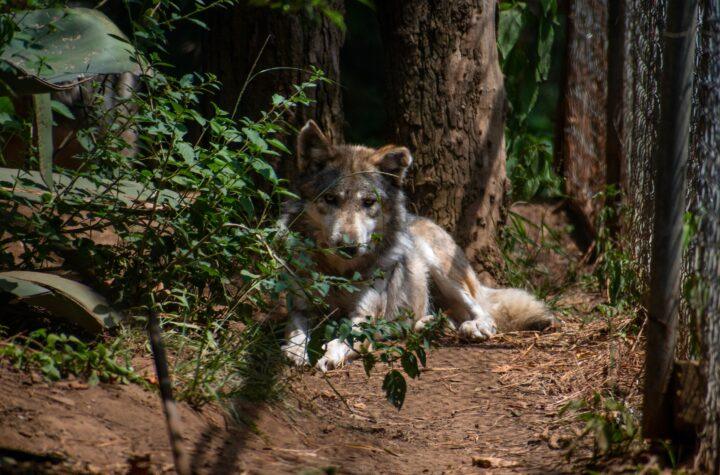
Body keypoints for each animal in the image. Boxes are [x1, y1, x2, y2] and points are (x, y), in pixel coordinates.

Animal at [281, 120, 555, 372]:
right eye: (330, 199)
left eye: (369, 202)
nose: (349, 247)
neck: (339, 272)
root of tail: (422, 219)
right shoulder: (300, 308)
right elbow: (295, 332)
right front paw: (296, 351)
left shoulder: (363, 318)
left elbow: (341, 339)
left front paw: (327, 355)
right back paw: (430, 325)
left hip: (441, 270)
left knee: (483, 311)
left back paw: (476, 327)